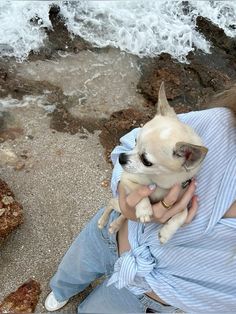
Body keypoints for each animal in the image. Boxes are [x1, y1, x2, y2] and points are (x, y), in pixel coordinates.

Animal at [98, 82, 207, 244]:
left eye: (146, 161)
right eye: (134, 141)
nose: (121, 158)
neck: (160, 183)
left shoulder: (182, 199)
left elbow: (184, 212)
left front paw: (167, 232)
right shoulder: (126, 180)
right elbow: (139, 190)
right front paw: (144, 210)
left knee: (124, 214)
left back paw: (116, 224)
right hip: (119, 204)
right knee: (112, 202)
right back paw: (103, 221)